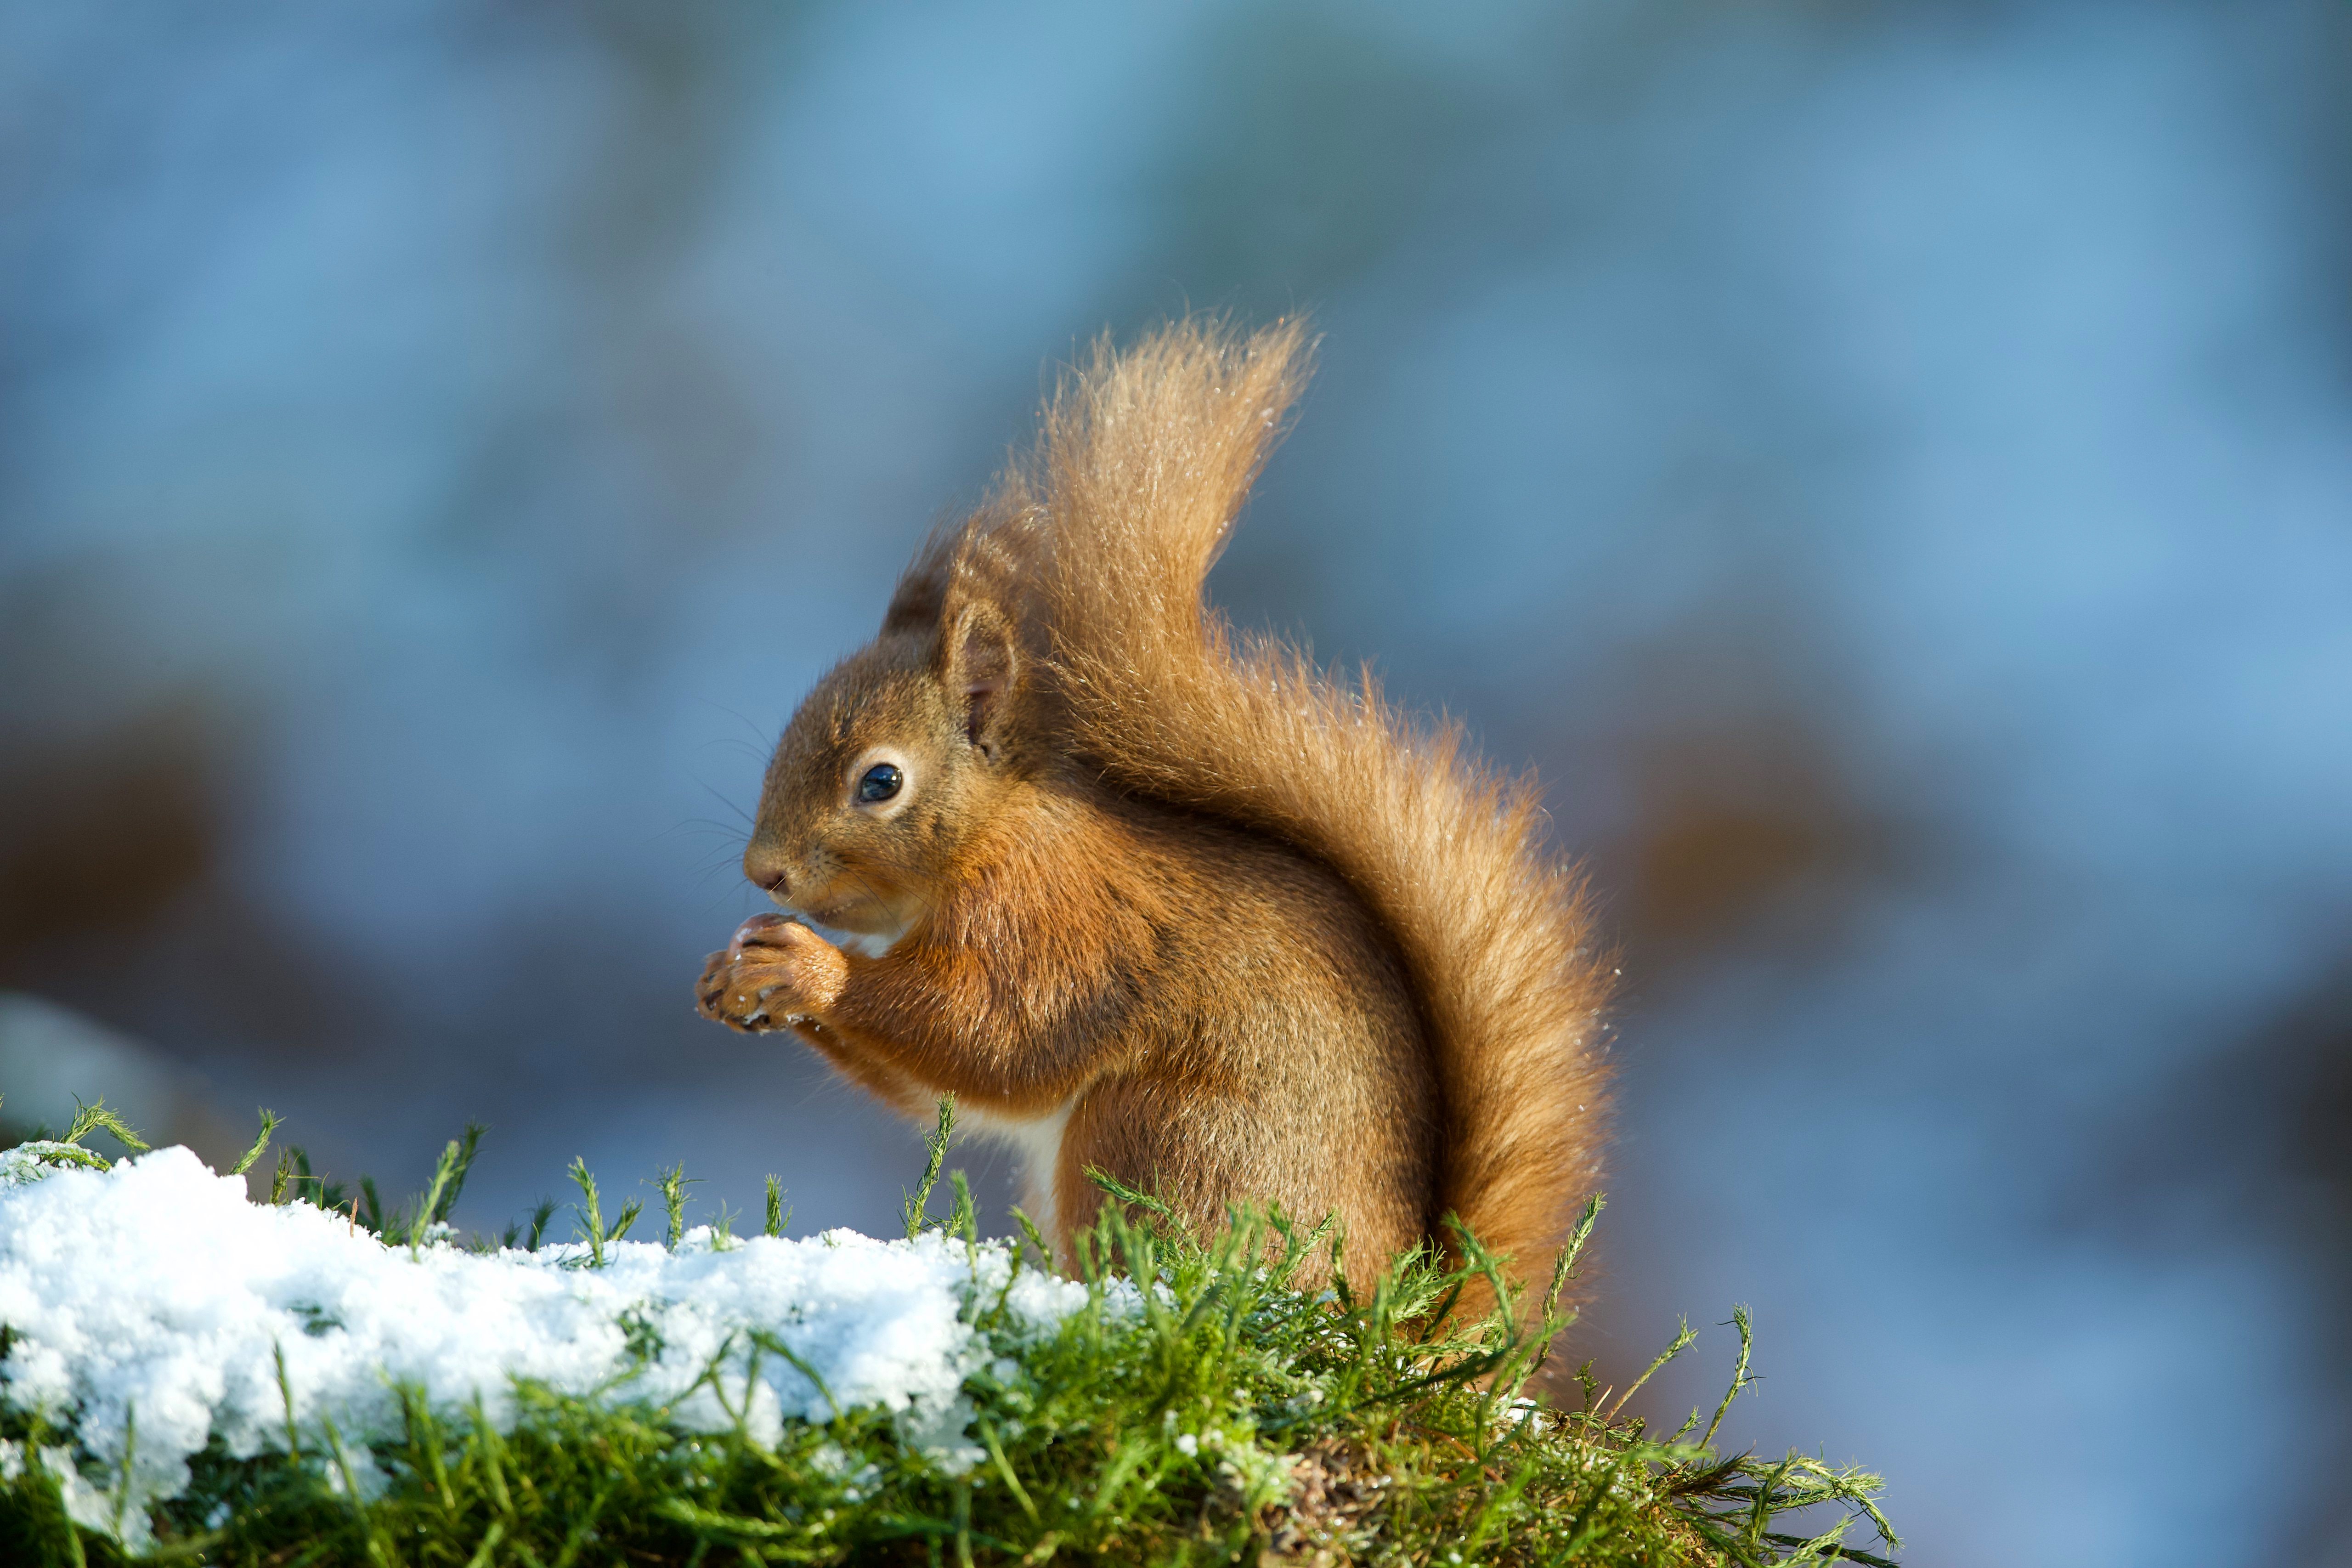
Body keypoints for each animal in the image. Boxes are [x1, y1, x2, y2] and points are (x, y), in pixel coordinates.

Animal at [696, 319, 1609, 1297]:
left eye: (881, 783)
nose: (764, 870)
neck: (996, 831)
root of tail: (1393, 1305)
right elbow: (935, 1088)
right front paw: (732, 972)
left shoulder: (1053, 923)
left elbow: (991, 1040)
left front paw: (809, 966)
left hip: (1162, 1136)